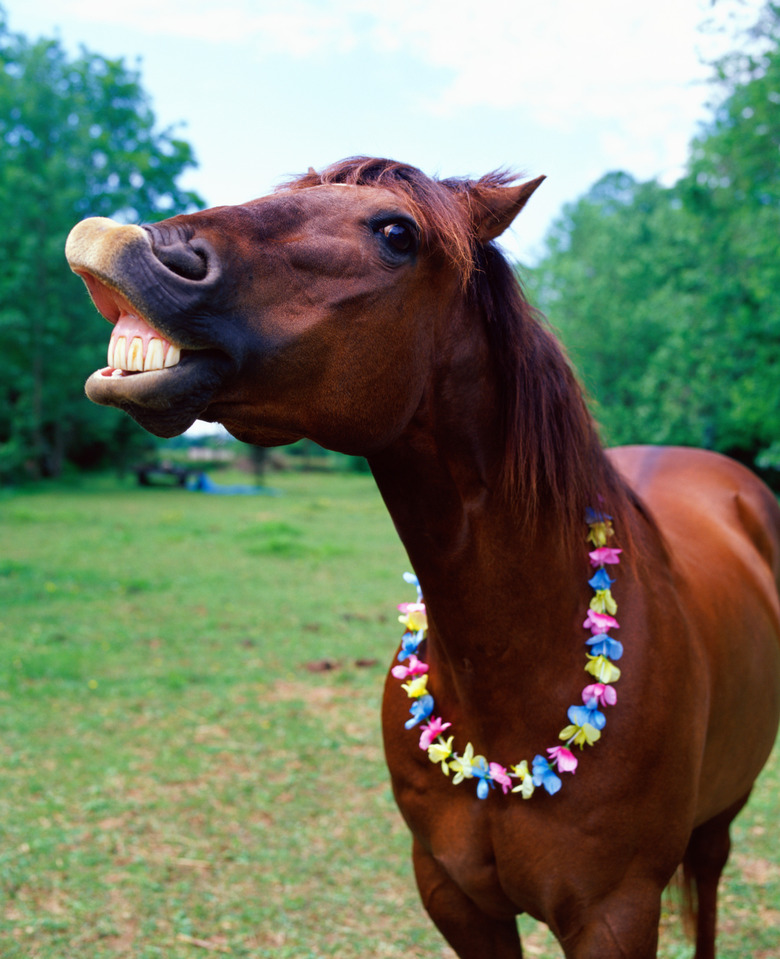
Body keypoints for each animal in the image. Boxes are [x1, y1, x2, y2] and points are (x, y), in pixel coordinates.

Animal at [67, 159, 780, 959]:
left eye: (397, 233)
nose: (122, 242)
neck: (516, 671)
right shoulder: (453, 894)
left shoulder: (614, 915)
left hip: (723, 812)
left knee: (710, 879)